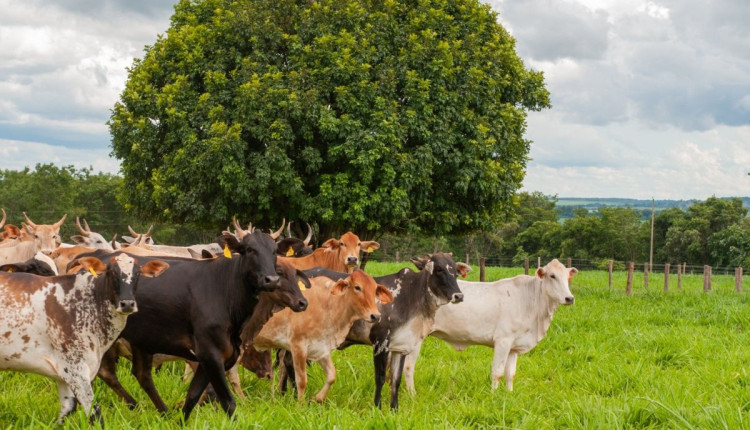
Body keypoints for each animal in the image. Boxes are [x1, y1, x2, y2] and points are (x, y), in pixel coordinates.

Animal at [298, 252, 470, 410]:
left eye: (455, 271)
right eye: (439, 269)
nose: (459, 295)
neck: (412, 296)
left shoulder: (401, 347)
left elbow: (396, 379)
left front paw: (394, 408)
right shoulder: (380, 343)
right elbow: (380, 377)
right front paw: (377, 407)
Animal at [406, 258, 576, 394]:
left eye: (567, 277)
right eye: (552, 276)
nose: (570, 298)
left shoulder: (514, 346)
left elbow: (510, 373)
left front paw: (509, 393)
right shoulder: (503, 340)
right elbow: (497, 372)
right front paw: (494, 395)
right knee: (408, 366)